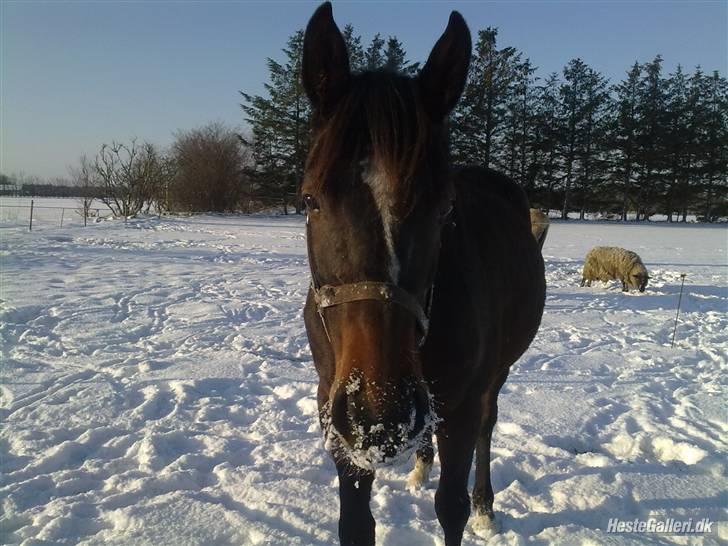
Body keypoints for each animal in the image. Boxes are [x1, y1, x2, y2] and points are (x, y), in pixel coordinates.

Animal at [298, 5, 544, 544]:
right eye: (310, 201)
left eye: (444, 208)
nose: (379, 415)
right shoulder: (338, 418)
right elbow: (355, 524)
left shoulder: (461, 404)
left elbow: (450, 507)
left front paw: (470, 507)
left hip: (493, 377)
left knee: (487, 426)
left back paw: (486, 506)